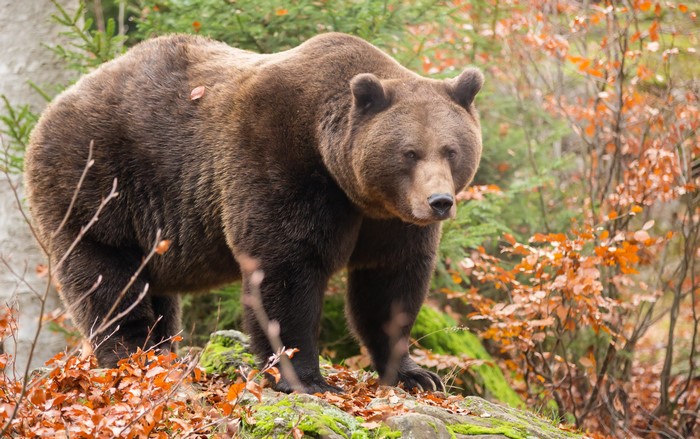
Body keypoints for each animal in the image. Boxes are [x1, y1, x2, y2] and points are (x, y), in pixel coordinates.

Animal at [24, 33, 483, 393]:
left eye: (451, 149)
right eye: (409, 152)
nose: (439, 201)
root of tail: (51, 107)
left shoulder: (388, 220)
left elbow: (389, 284)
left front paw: (416, 374)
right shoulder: (278, 162)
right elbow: (285, 269)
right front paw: (305, 378)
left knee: (154, 288)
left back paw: (162, 352)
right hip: (98, 181)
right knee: (106, 276)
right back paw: (132, 356)